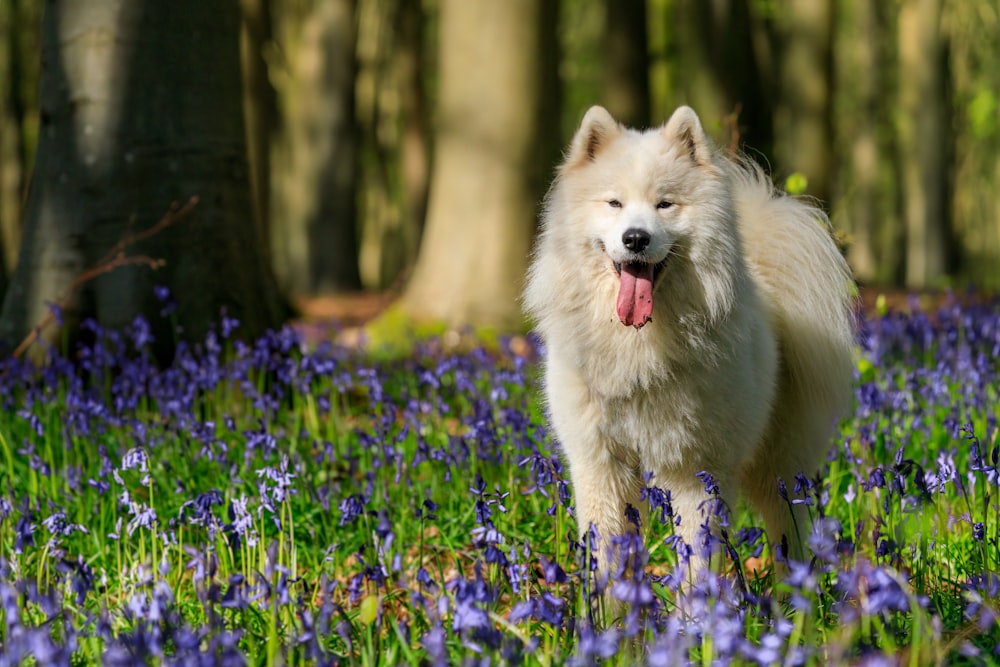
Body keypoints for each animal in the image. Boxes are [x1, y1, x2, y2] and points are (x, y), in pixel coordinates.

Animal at [520, 105, 856, 576]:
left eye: (665, 204)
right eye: (614, 203)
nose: (635, 238)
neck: (638, 345)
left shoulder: (697, 469)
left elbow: (698, 555)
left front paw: (699, 600)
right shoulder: (601, 464)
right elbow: (608, 551)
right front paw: (607, 600)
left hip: (779, 465)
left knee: (788, 528)